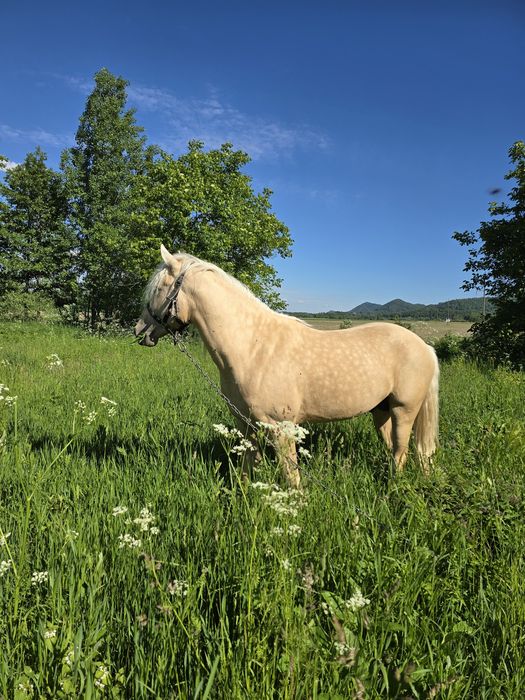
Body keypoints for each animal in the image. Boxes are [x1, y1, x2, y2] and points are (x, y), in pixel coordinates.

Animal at [135, 245, 439, 487]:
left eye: (159, 288)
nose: (140, 331)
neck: (252, 348)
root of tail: (425, 347)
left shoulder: (282, 430)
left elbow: (291, 478)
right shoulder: (246, 425)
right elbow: (247, 470)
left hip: (404, 410)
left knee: (401, 452)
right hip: (381, 411)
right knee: (395, 449)